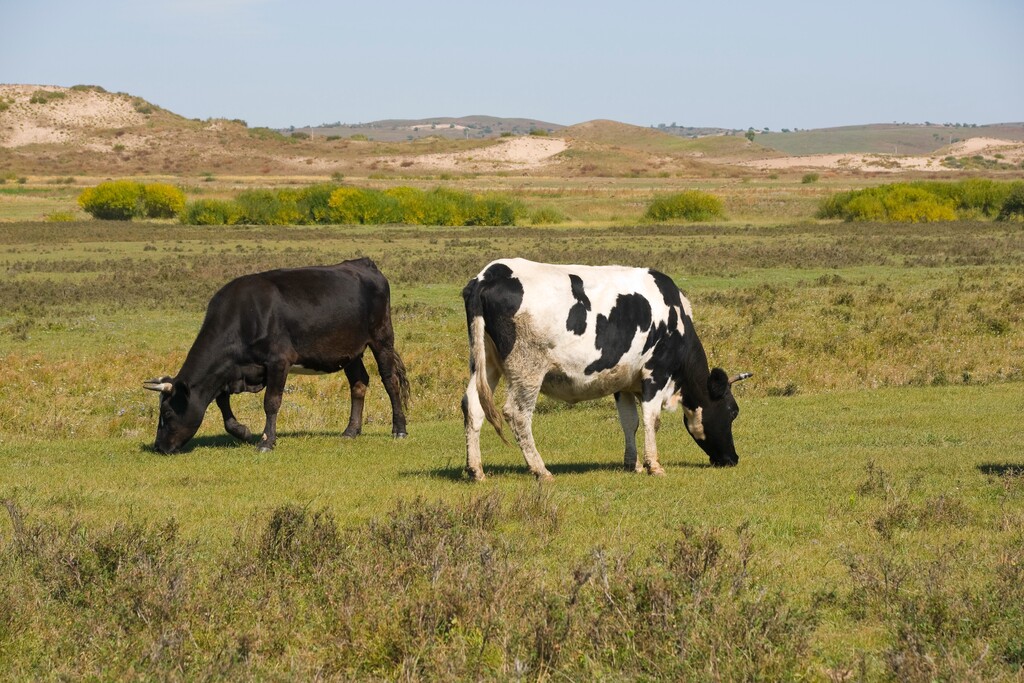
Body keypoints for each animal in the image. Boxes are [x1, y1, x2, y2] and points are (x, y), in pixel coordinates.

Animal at [141, 255, 411, 454]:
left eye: (167, 412)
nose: (159, 447)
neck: (244, 316)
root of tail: (362, 263)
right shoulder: (232, 370)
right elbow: (222, 402)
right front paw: (243, 431)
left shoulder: (278, 361)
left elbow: (271, 402)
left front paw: (266, 441)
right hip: (349, 351)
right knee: (359, 383)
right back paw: (351, 431)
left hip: (382, 338)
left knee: (390, 381)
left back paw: (399, 429)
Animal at [464, 258, 753, 481]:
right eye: (733, 411)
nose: (733, 458)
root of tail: (489, 274)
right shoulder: (656, 373)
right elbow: (651, 419)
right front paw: (653, 465)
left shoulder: (623, 382)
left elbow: (630, 421)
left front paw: (632, 464)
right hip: (527, 369)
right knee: (517, 413)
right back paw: (540, 470)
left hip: (485, 363)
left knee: (472, 406)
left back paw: (476, 470)